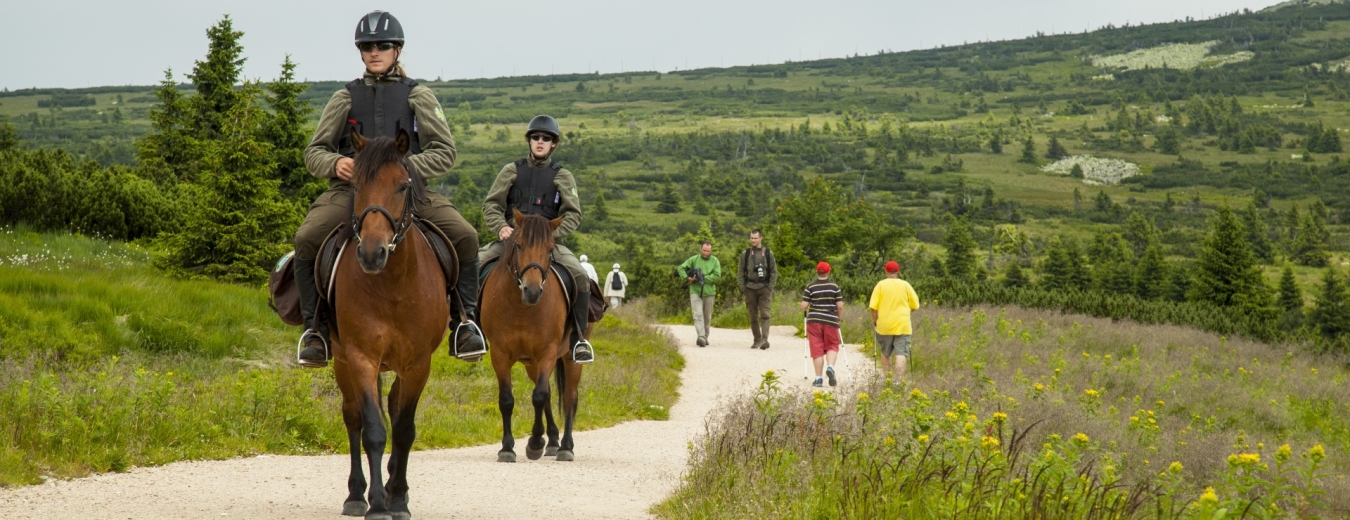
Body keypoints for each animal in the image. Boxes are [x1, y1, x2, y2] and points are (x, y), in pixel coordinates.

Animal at [330, 129, 448, 518]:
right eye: (355, 185)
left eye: (401, 186)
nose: (371, 253)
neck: (393, 284)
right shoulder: (361, 358)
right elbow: (373, 430)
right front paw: (378, 503)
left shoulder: (418, 363)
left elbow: (404, 429)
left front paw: (397, 498)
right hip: (341, 361)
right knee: (352, 416)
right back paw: (356, 495)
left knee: (396, 409)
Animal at [488, 209, 588, 461]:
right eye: (519, 245)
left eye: (550, 249)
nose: (532, 292)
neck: (522, 308)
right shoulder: (499, 354)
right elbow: (507, 399)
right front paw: (507, 448)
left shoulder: (548, 352)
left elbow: (539, 395)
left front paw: (534, 443)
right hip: (531, 363)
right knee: (551, 395)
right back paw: (552, 441)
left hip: (570, 358)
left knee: (570, 397)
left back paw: (565, 447)